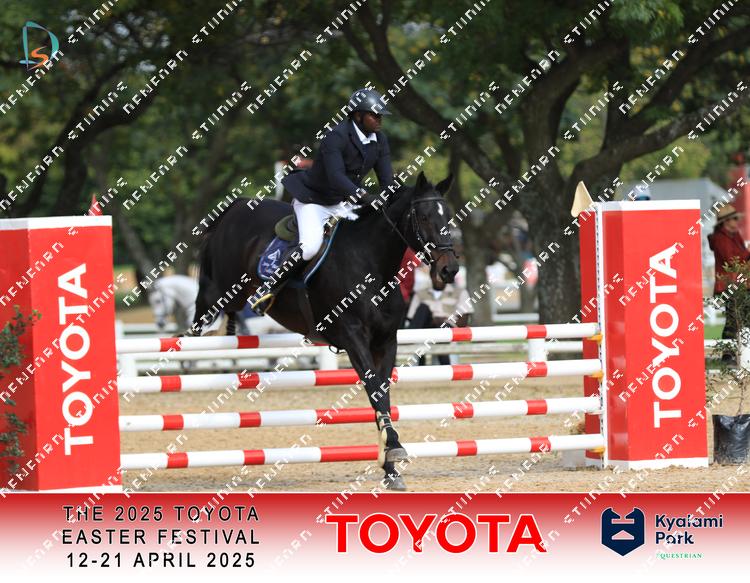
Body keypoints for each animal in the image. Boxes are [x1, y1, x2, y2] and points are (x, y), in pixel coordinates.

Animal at [191, 171, 459, 489]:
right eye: (425, 217)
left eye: (449, 216)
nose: (449, 270)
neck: (373, 266)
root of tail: (238, 206)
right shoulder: (353, 337)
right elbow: (374, 389)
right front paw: (393, 450)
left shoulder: (385, 341)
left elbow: (381, 394)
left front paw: (390, 465)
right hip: (222, 289)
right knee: (202, 312)